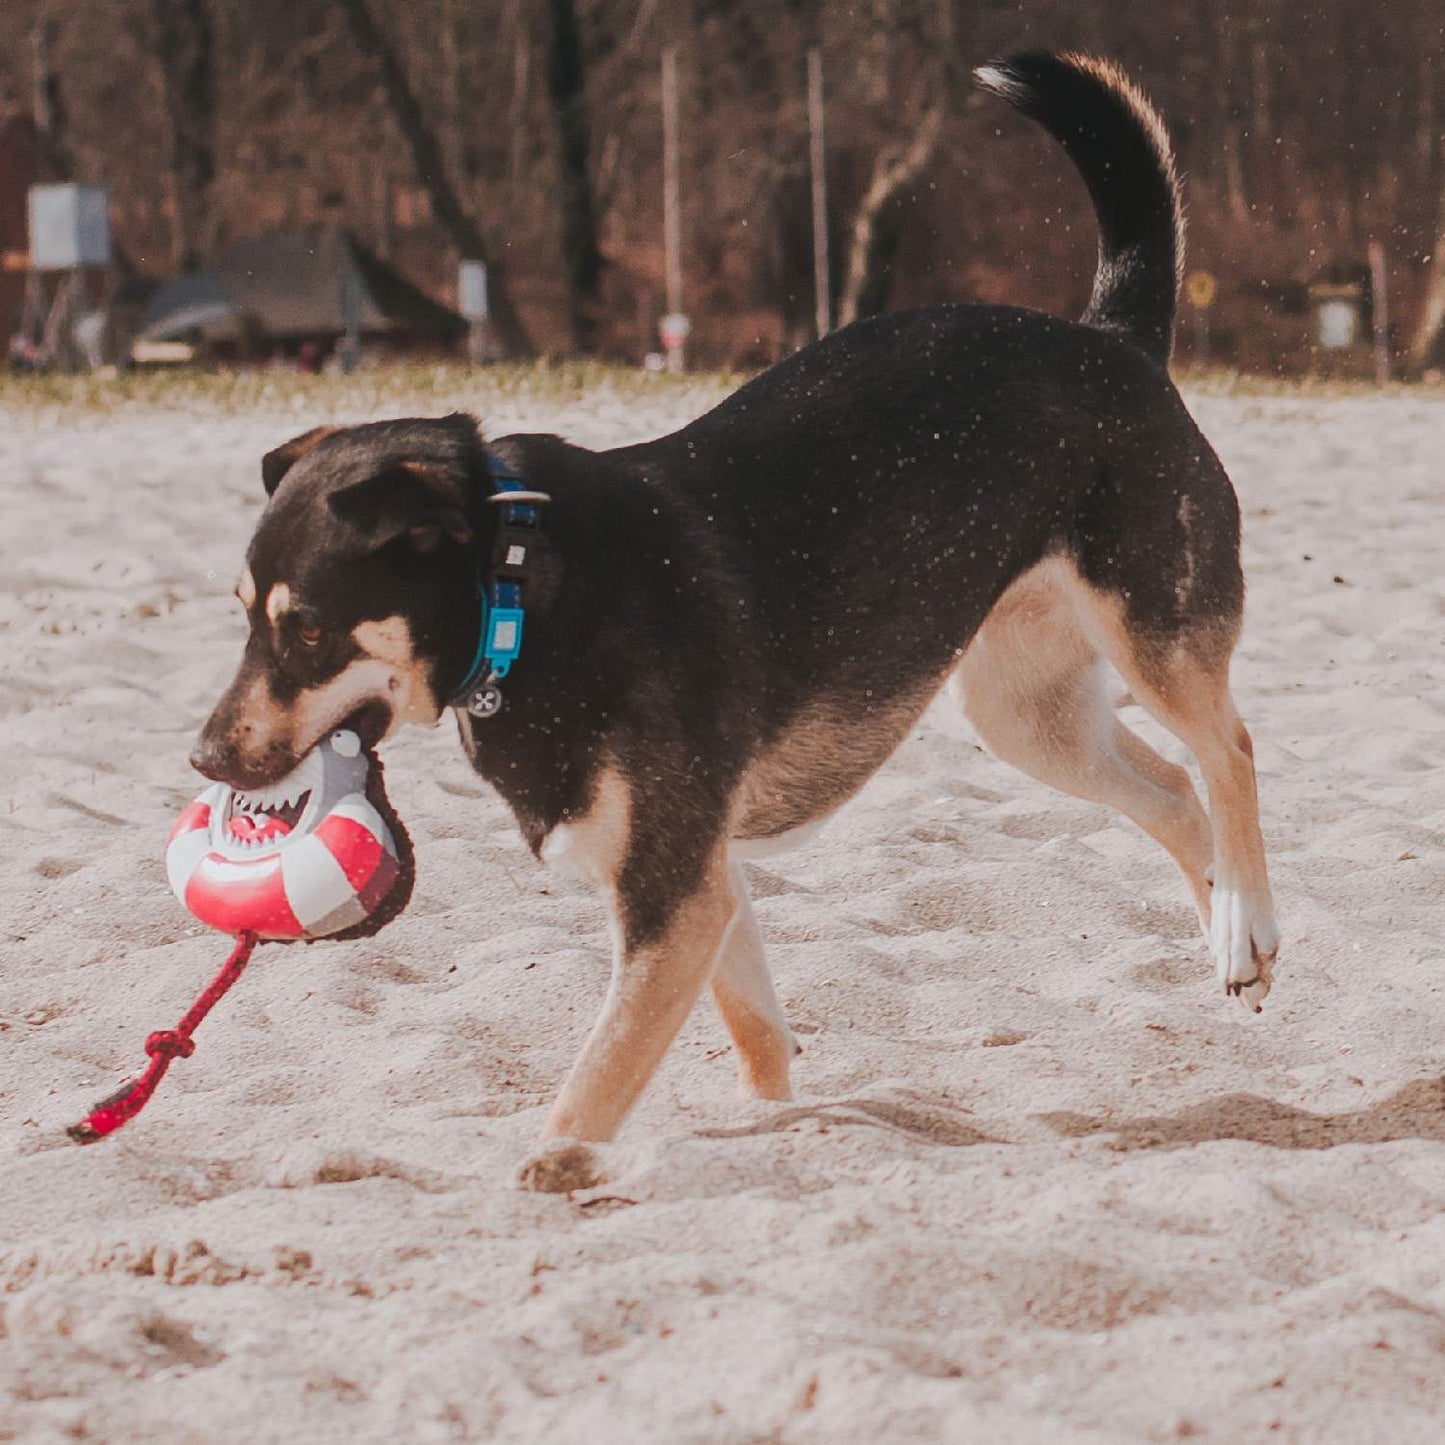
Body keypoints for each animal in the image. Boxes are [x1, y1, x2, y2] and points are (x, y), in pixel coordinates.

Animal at [197, 50, 1283, 1144]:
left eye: (306, 628)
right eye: (242, 612)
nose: (203, 758)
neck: (524, 593)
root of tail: (1111, 339)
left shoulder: (670, 891)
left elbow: (593, 1083)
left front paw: (552, 1169)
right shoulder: (698, 880)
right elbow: (753, 1026)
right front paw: (768, 1129)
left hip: (1149, 630)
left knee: (1226, 750)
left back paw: (1245, 916)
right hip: (1026, 713)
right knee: (1172, 788)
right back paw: (1231, 937)